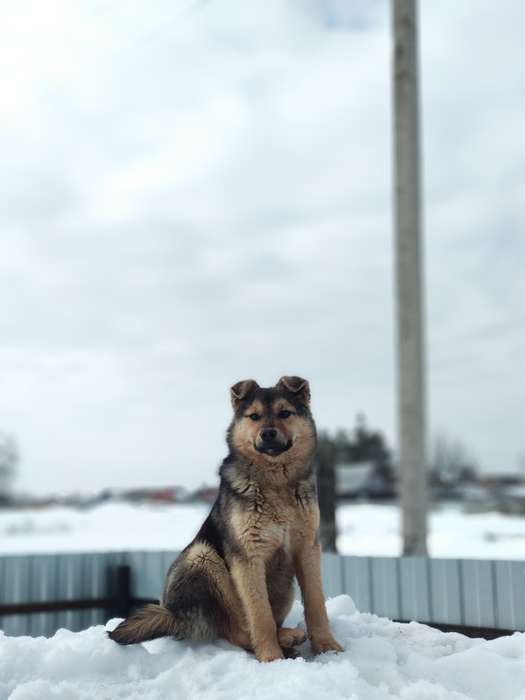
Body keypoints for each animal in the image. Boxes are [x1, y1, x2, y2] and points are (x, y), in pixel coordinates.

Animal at [108, 378, 342, 660]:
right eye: (254, 416)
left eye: (285, 413)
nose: (268, 434)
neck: (276, 482)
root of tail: (174, 615)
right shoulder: (248, 556)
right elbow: (259, 615)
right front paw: (271, 658)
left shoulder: (307, 548)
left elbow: (315, 603)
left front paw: (327, 647)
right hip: (202, 557)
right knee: (237, 629)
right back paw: (282, 640)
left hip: (283, 584)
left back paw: (286, 635)